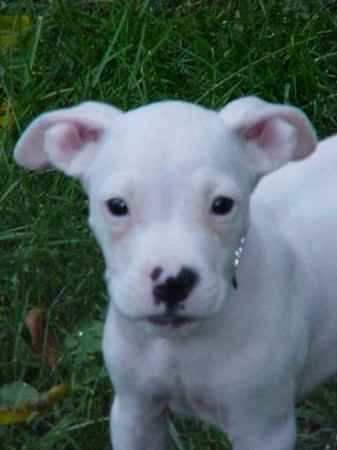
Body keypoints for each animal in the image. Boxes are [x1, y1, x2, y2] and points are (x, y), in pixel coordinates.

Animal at [13, 98, 336, 450]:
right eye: (117, 206)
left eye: (223, 205)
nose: (172, 282)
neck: (180, 344)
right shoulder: (135, 412)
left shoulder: (263, 430)